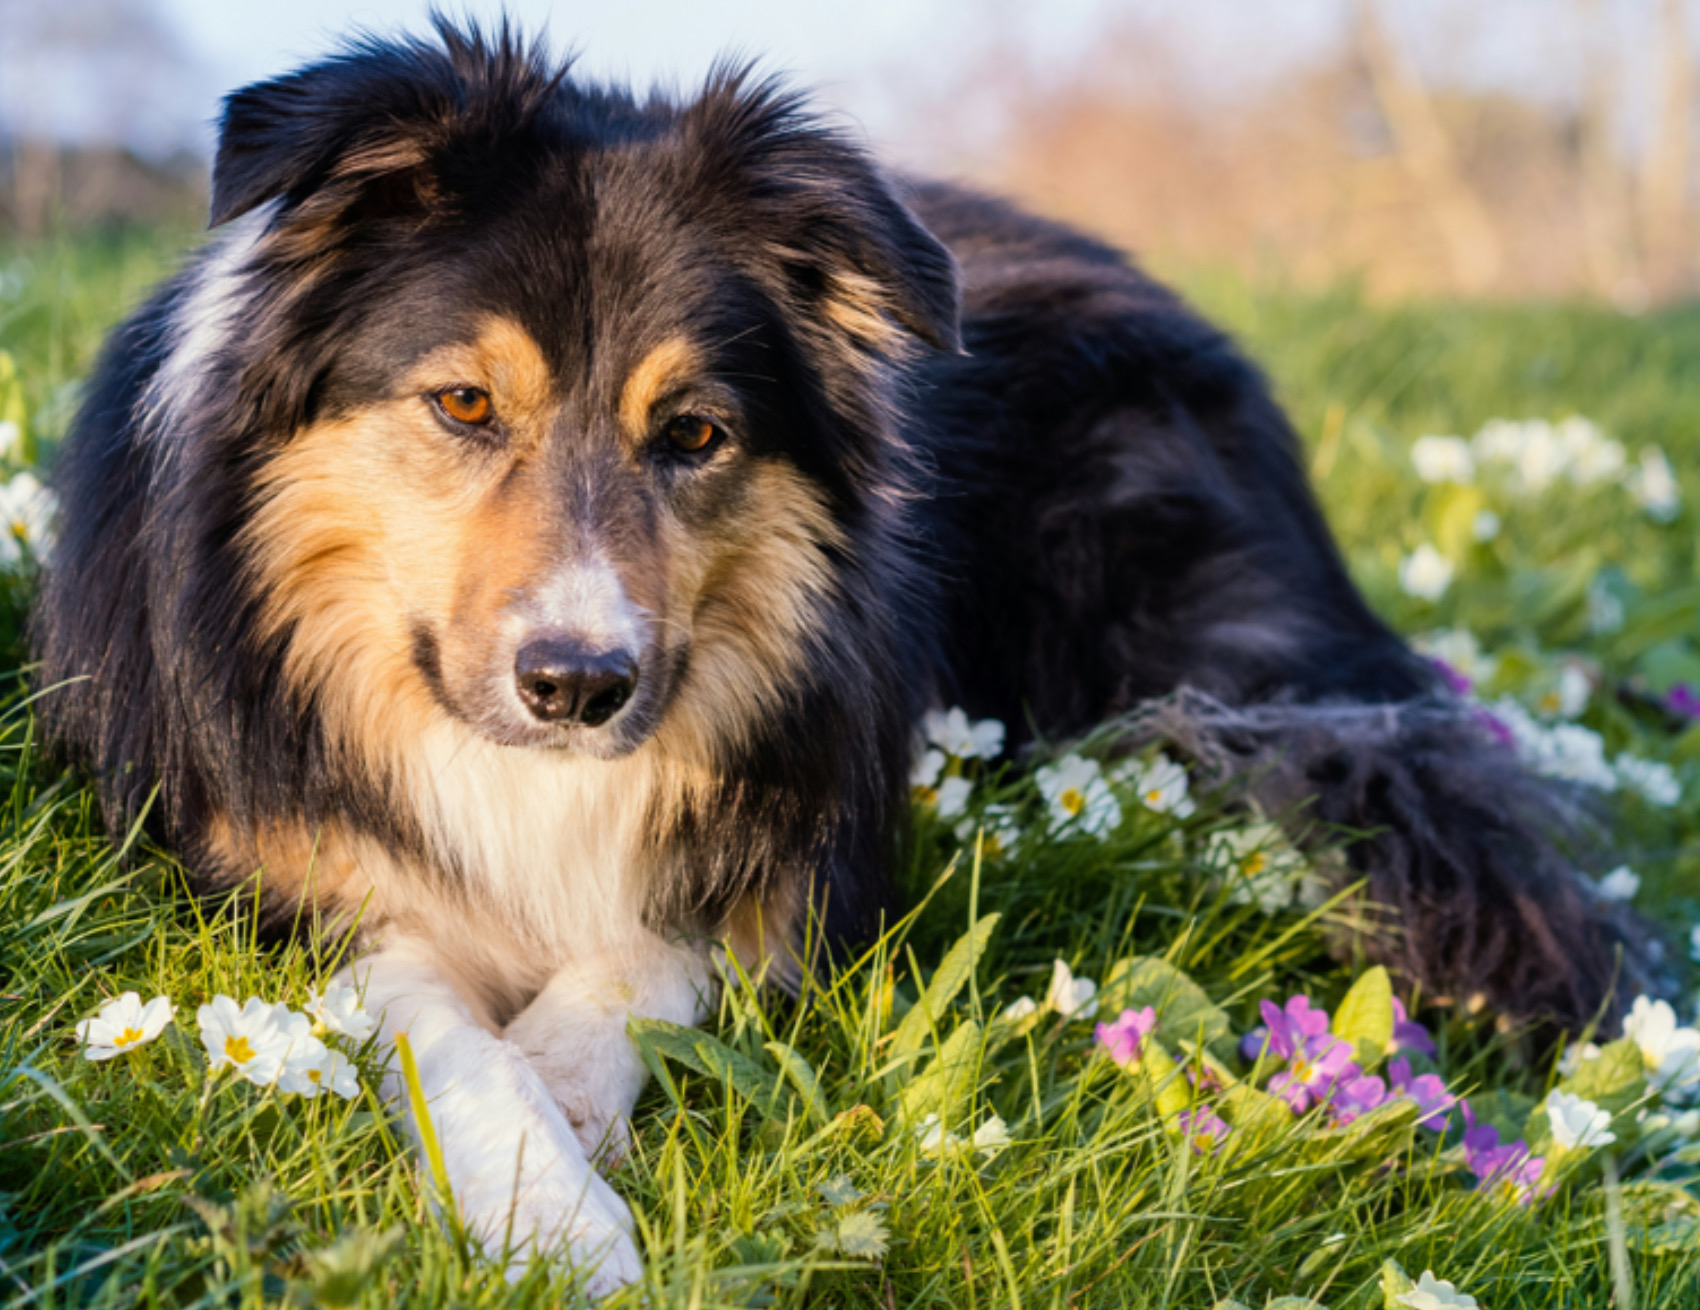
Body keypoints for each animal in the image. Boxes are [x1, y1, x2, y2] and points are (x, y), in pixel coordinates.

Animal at [36, 15, 1659, 1298]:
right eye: (462, 404)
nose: (579, 686)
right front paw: (551, 1207)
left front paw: (577, 1102)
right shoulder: (269, 870)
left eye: (695, 432)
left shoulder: (803, 824)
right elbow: (444, 1023)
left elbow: (647, 948)